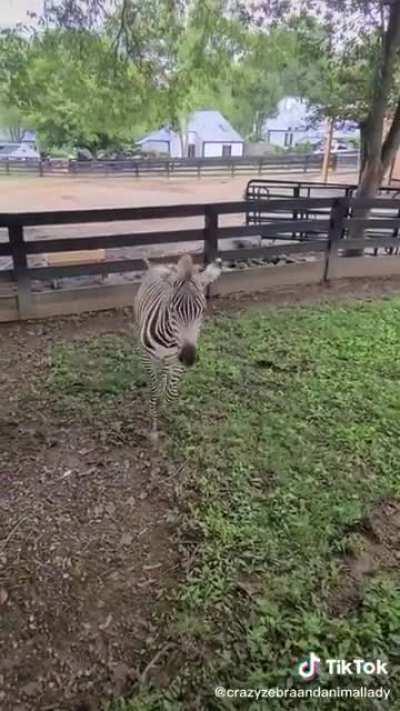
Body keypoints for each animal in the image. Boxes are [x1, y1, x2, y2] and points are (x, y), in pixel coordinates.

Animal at [134, 253, 222, 442]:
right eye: (172, 309)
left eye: (202, 310)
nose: (188, 357)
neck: (169, 339)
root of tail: (162, 265)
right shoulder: (147, 357)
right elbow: (153, 391)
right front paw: (153, 429)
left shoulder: (178, 361)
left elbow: (171, 391)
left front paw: (167, 412)